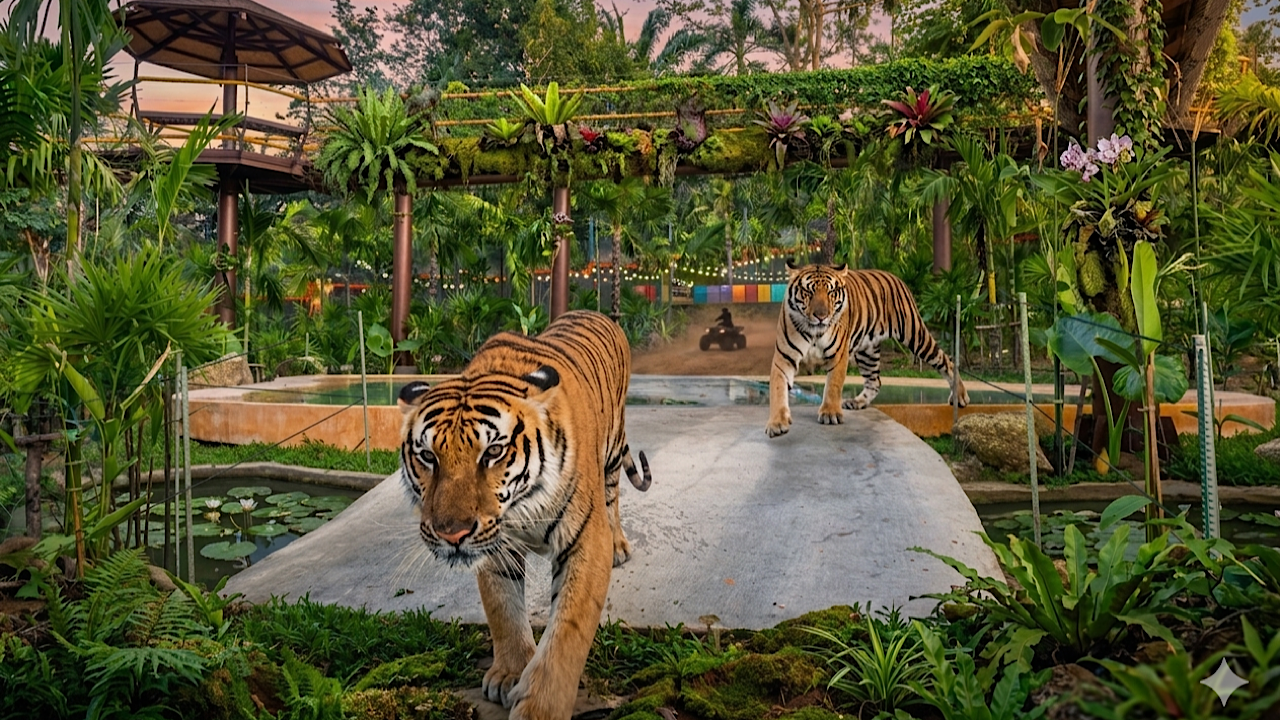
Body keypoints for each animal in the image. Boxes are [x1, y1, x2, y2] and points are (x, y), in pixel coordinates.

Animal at [397, 310, 651, 720]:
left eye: (493, 452)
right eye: (428, 457)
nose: (452, 534)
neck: (518, 508)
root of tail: (597, 312)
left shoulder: (584, 541)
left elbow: (567, 631)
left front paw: (541, 707)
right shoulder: (492, 546)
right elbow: (503, 608)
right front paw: (510, 674)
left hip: (613, 449)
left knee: (613, 494)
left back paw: (619, 545)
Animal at [766, 262, 968, 437]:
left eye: (831, 292)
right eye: (808, 291)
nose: (821, 316)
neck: (815, 331)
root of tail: (895, 277)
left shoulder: (839, 356)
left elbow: (833, 385)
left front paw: (830, 413)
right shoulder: (784, 358)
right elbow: (777, 389)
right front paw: (776, 423)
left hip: (916, 336)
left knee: (946, 361)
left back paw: (960, 397)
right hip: (867, 352)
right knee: (875, 381)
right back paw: (857, 402)